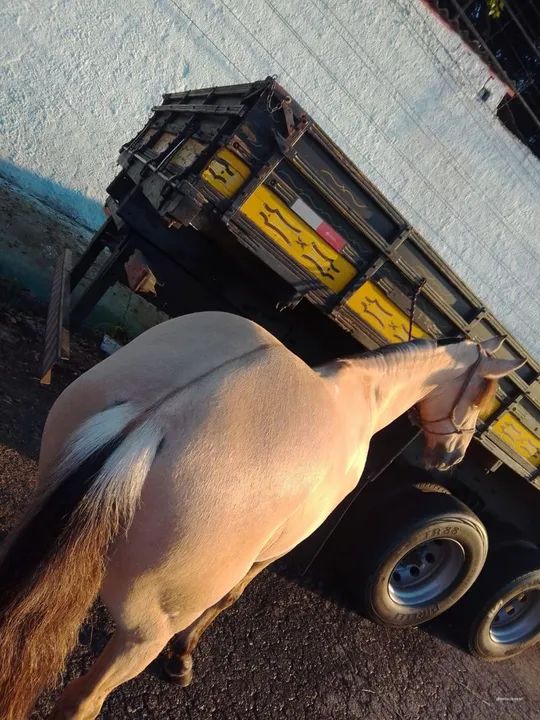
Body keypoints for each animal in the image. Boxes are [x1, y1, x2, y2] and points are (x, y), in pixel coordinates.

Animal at [0, 310, 522, 720]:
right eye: (481, 394)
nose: (450, 458)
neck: (361, 394)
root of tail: (160, 419)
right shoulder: (272, 552)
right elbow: (229, 598)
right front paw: (182, 659)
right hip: (143, 634)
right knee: (82, 702)